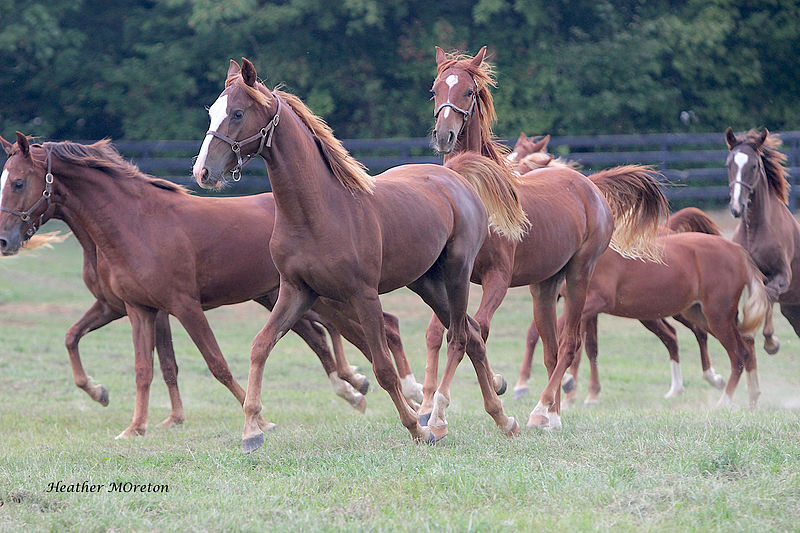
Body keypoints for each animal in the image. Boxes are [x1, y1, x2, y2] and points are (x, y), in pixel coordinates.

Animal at [0, 133, 424, 438]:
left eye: (18, 182)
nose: (5, 241)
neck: (137, 222)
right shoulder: (138, 308)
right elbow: (141, 365)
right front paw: (134, 424)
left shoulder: (182, 306)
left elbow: (215, 364)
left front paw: (259, 421)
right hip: (286, 298)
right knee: (340, 336)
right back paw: (383, 395)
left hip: (328, 297)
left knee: (378, 329)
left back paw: (405, 397)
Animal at [193, 58, 531, 452]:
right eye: (212, 112)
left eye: (237, 113)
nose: (203, 172)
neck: (319, 212)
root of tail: (455, 177)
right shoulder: (295, 291)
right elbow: (260, 346)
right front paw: (252, 431)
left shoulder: (363, 295)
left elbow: (384, 368)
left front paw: (416, 427)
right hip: (426, 284)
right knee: (474, 334)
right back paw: (503, 419)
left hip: (457, 274)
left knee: (461, 337)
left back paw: (443, 418)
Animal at [428, 46, 668, 429]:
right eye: (435, 90)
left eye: (468, 91)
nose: (443, 135)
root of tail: (590, 185)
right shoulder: (456, 278)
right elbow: (454, 331)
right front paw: (442, 402)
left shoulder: (498, 278)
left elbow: (476, 330)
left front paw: (443, 409)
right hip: (543, 286)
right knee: (551, 349)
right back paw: (552, 414)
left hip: (579, 276)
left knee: (569, 344)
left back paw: (542, 410)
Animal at [726, 128, 798, 353]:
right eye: (729, 164)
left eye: (754, 165)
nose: (736, 207)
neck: (756, 230)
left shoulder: (784, 275)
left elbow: (768, 293)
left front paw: (770, 342)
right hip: (793, 311)